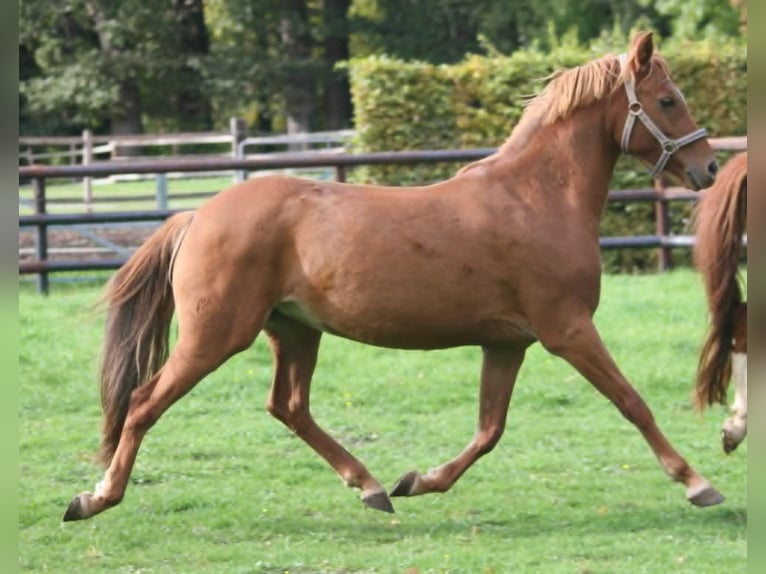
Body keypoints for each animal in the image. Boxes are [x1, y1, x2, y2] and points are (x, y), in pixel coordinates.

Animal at [64, 32, 728, 528]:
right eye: (668, 100)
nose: (709, 168)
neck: (535, 198)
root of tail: (198, 215)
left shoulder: (508, 342)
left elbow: (489, 429)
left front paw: (419, 480)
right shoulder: (567, 329)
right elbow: (632, 402)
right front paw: (698, 482)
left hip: (294, 331)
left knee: (289, 407)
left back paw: (372, 487)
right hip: (217, 336)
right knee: (145, 402)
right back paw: (95, 498)